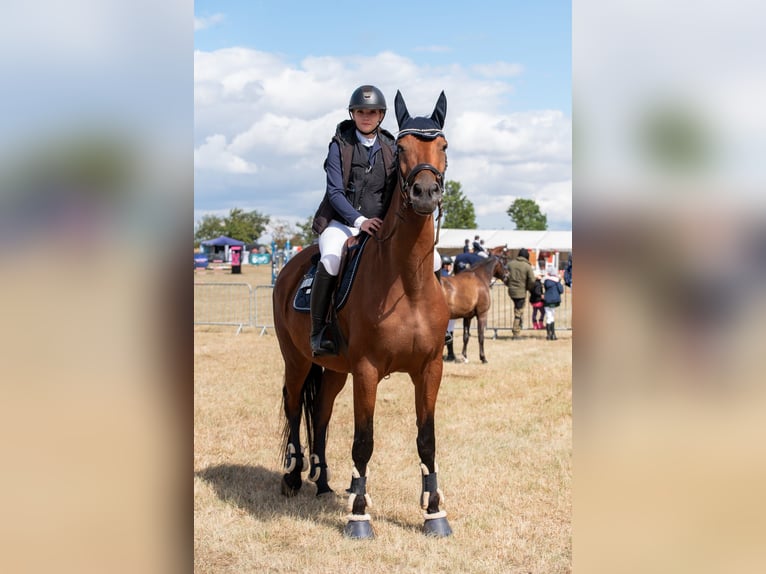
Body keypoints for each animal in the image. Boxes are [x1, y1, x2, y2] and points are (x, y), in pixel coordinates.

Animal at [272, 90, 452, 539]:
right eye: (401, 150)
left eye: (443, 146)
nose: (425, 193)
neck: (407, 281)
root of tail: (290, 265)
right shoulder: (368, 370)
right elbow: (364, 440)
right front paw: (358, 516)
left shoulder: (430, 368)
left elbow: (427, 439)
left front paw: (434, 512)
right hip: (297, 360)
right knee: (294, 406)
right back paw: (293, 477)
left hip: (335, 370)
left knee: (320, 414)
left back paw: (322, 482)